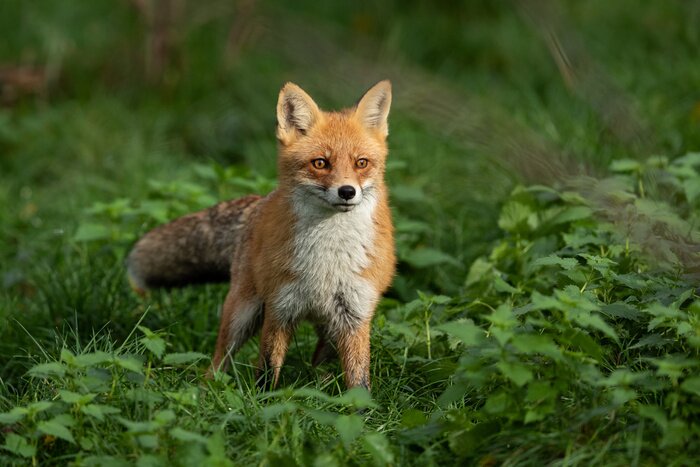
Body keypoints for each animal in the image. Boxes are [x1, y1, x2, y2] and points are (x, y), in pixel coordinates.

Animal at [127, 80, 396, 390]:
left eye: (361, 163)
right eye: (320, 163)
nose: (347, 192)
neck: (328, 258)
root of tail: (258, 202)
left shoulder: (355, 315)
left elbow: (359, 381)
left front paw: (360, 404)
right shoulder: (279, 308)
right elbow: (267, 369)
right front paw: (263, 400)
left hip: (329, 331)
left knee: (318, 360)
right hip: (242, 314)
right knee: (219, 360)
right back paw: (207, 390)